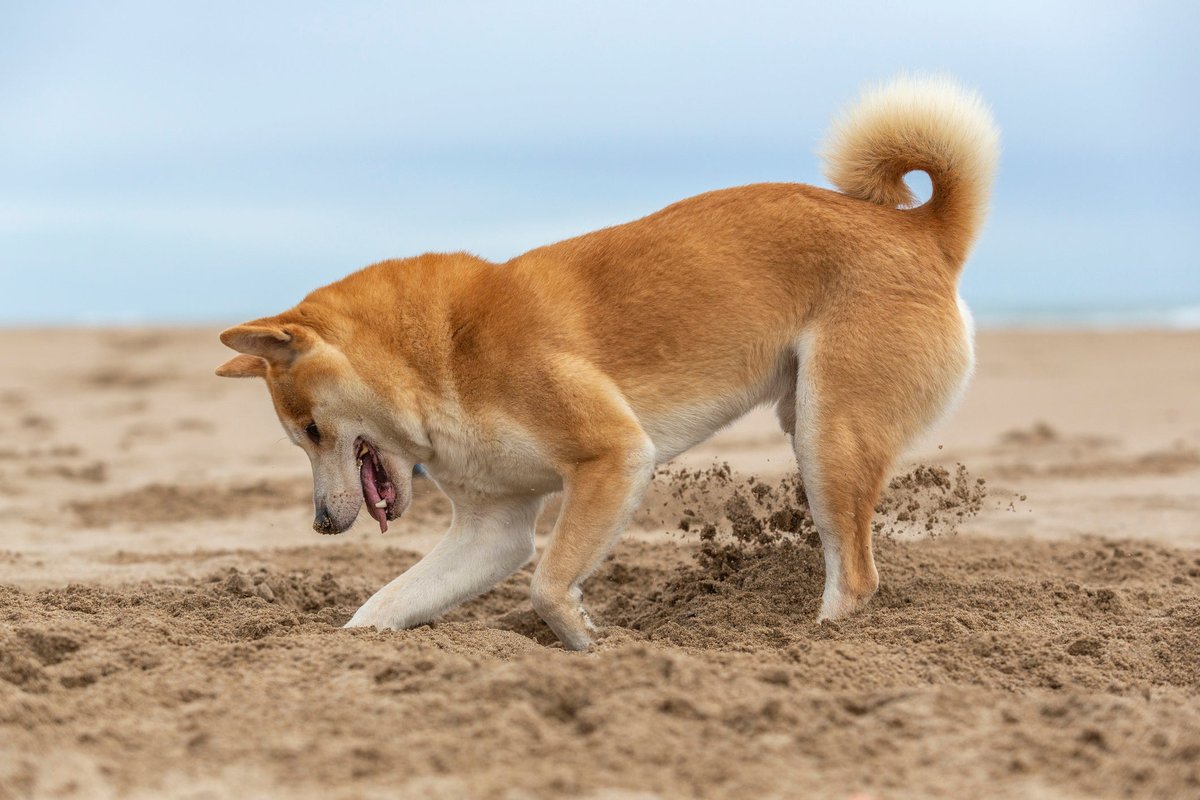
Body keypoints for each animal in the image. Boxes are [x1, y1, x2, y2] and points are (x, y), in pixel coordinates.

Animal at [218, 74, 1003, 652]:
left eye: (311, 431)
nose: (322, 525)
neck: (442, 350)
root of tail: (922, 231)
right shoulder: (491, 531)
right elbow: (382, 607)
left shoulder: (614, 457)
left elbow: (547, 586)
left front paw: (589, 642)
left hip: (828, 436)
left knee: (857, 579)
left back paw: (814, 648)